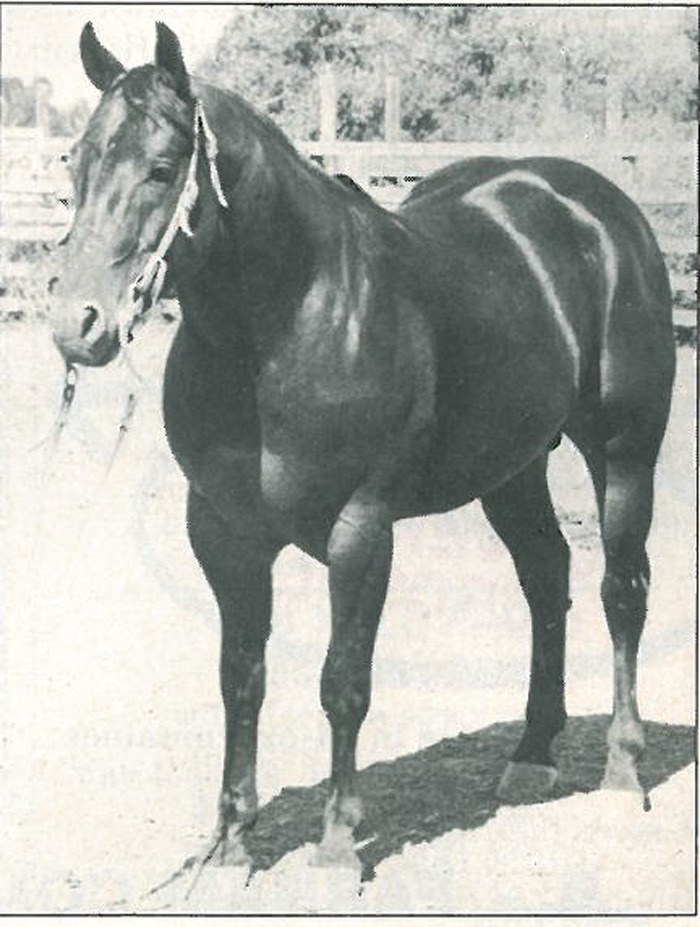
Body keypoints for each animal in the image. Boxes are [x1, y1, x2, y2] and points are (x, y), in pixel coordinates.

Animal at [49, 22, 676, 873]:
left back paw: (621, 769)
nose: (77, 325)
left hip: (624, 450)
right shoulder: (222, 532)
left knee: (622, 591)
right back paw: (532, 754)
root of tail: (599, 210)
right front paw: (232, 843)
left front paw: (339, 845)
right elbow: (240, 676)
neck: (290, 318)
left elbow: (343, 680)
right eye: (75, 162)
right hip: (512, 468)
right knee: (548, 579)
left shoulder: (360, 530)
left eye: (161, 166)